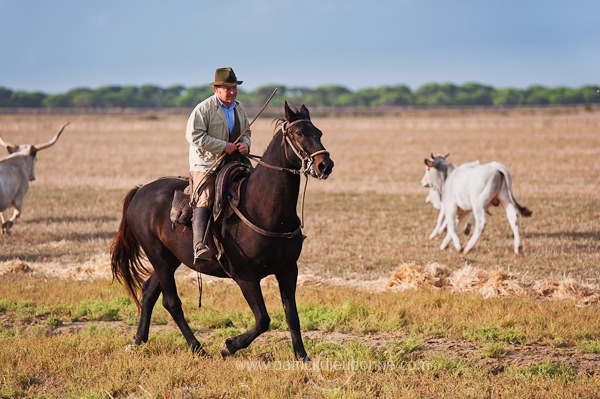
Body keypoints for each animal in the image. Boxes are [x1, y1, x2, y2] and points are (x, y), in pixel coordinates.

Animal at [109, 101, 332, 360]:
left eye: (319, 133)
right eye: (298, 134)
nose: (325, 164)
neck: (263, 209)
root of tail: (141, 190)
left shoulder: (288, 271)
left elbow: (292, 316)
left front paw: (302, 356)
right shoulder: (246, 277)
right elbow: (263, 319)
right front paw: (229, 345)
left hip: (170, 259)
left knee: (148, 293)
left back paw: (139, 340)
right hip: (159, 257)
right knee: (171, 302)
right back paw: (196, 347)